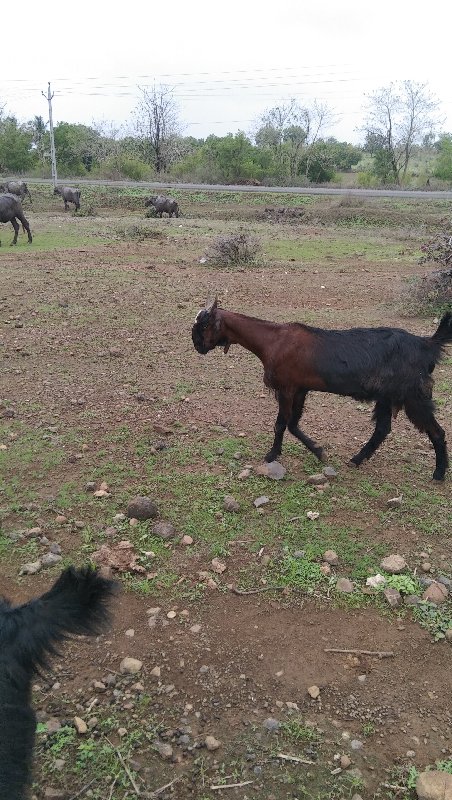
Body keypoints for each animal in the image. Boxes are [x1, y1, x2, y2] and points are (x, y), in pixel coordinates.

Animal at [192, 300, 452, 482]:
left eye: (204, 325)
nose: (197, 345)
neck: (272, 340)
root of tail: (427, 344)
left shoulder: (287, 388)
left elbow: (281, 424)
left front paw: (272, 455)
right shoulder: (300, 389)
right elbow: (293, 424)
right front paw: (318, 451)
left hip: (414, 395)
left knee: (436, 432)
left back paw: (439, 474)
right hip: (387, 396)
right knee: (382, 429)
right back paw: (357, 459)